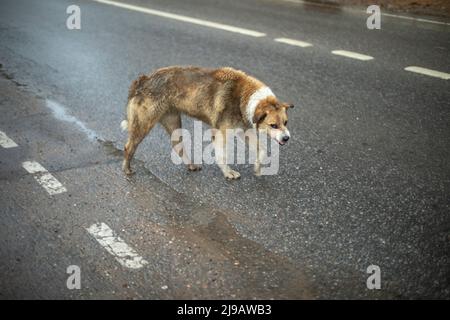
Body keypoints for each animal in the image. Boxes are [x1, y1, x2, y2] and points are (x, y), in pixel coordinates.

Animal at [121, 66, 294, 179]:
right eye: (273, 125)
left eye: (286, 122)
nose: (286, 138)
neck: (246, 97)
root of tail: (143, 80)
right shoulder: (221, 132)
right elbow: (222, 156)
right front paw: (228, 172)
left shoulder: (244, 130)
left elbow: (262, 149)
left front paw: (257, 168)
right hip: (144, 123)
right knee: (129, 146)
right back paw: (127, 169)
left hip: (173, 121)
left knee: (177, 146)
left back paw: (191, 165)